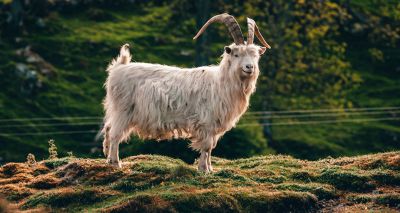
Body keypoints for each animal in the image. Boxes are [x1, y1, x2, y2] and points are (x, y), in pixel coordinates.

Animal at [103, 13, 272, 172]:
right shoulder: (206, 122)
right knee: (115, 134)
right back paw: (116, 163)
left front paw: (210, 168)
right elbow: (206, 146)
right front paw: (203, 169)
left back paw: (108, 158)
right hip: (124, 110)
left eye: (256, 55)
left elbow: (211, 148)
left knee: (108, 128)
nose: (250, 67)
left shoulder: (214, 125)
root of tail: (119, 67)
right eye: (236, 54)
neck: (220, 83)